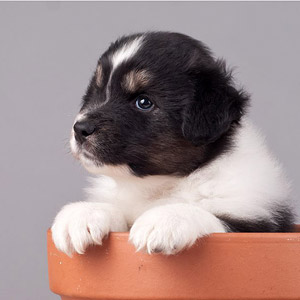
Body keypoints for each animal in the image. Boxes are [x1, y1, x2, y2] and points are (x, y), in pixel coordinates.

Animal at [51, 31, 292, 255]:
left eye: (144, 102)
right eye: (97, 92)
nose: (80, 129)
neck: (160, 185)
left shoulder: (257, 222)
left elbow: (214, 218)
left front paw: (165, 219)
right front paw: (83, 214)